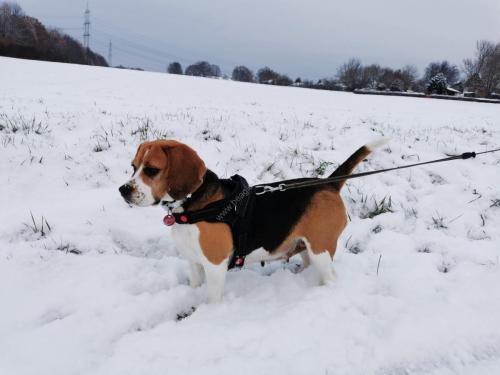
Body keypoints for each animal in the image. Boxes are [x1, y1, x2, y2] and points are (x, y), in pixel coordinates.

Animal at [120, 140, 382, 304]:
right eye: (133, 167)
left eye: (152, 170)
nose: (123, 190)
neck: (193, 207)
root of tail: (328, 184)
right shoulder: (193, 261)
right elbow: (195, 284)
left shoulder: (215, 266)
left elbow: (212, 298)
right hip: (306, 245)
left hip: (321, 248)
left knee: (330, 277)